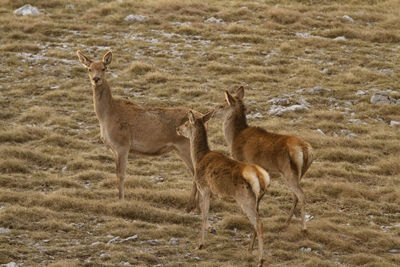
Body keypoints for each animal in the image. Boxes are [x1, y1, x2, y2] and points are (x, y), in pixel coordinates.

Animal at [77, 49, 203, 210]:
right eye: (89, 69)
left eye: (104, 68)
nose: (96, 79)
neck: (107, 116)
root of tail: (202, 118)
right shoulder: (114, 148)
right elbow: (116, 173)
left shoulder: (123, 145)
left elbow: (121, 174)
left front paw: (121, 201)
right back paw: (193, 206)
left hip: (185, 147)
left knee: (196, 173)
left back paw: (193, 207)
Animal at [177, 111, 270, 267]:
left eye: (186, 123)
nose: (177, 128)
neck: (198, 158)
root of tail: (261, 177)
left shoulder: (204, 188)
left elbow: (204, 215)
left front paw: (199, 245)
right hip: (257, 200)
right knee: (257, 223)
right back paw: (250, 250)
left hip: (246, 199)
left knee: (259, 224)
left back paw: (261, 260)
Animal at [212, 86, 312, 232]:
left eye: (222, 105)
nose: (211, 112)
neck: (234, 137)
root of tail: (306, 150)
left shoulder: (243, 163)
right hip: (300, 173)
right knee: (296, 196)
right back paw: (286, 222)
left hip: (289, 172)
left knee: (302, 195)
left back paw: (303, 227)